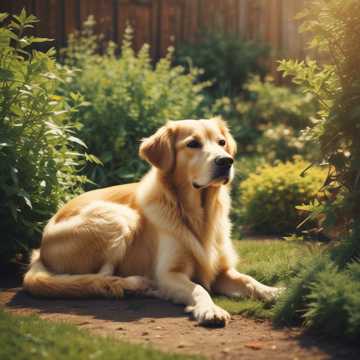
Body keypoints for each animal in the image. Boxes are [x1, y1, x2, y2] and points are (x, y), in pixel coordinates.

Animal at [23, 118, 282, 326]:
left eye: (221, 142)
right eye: (193, 144)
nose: (226, 161)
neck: (198, 213)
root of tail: (39, 249)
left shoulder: (222, 270)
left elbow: (248, 280)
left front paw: (274, 292)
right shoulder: (168, 274)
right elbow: (199, 289)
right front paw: (210, 310)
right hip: (119, 217)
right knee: (100, 277)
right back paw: (135, 286)